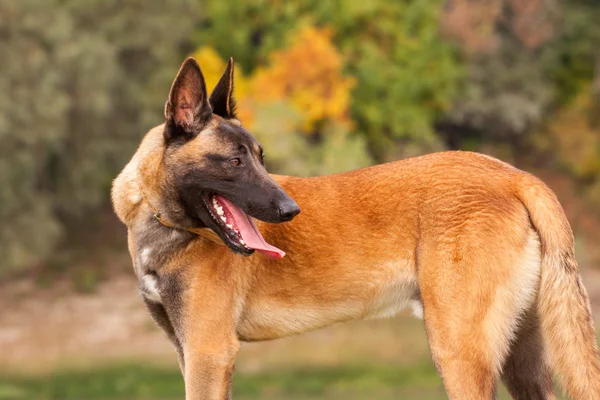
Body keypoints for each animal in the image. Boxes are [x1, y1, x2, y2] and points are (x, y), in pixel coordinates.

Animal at [112, 57, 600, 400]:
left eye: (260, 158)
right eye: (235, 161)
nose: (290, 210)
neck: (159, 219)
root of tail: (513, 175)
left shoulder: (208, 354)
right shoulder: (188, 352)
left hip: (459, 350)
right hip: (520, 355)